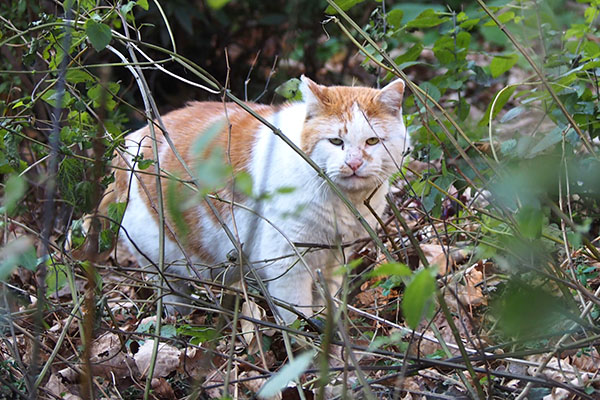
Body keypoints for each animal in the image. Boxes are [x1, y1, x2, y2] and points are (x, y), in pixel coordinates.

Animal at [90, 76, 408, 324]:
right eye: (336, 142)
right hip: (162, 260)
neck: (342, 201)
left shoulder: (333, 260)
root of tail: (130, 141)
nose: (354, 163)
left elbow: (324, 305)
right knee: (170, 292)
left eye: (372, 141)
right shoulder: (288, 264)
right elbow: (298, 317)